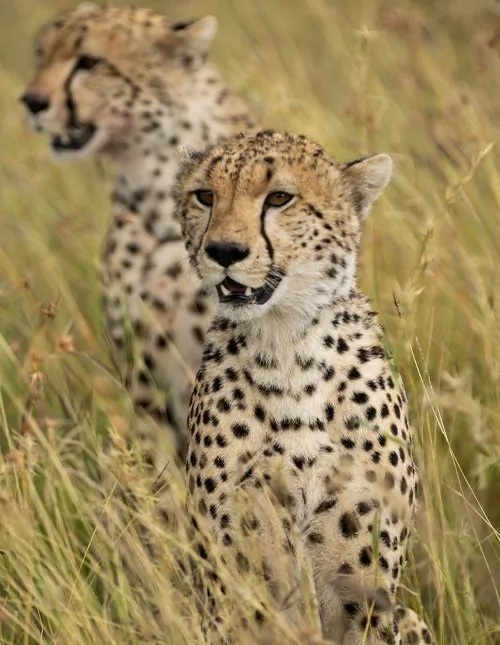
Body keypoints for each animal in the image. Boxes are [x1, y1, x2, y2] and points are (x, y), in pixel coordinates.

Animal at [174, 131, 432, 644]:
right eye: (205, 196)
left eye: (279, 198)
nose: (224, 251)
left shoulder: (369, 590)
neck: (289, 350)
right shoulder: (237, 579)